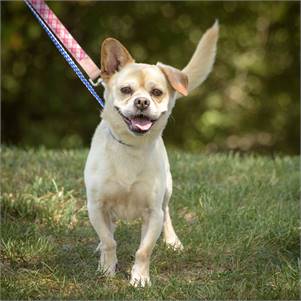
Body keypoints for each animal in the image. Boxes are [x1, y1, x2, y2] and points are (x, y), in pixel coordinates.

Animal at [84, 21, 218, 286]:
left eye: (156, 93)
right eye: (126, 89)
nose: (142, 102)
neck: (131, 147)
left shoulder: (152, 213)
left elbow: (143, 250)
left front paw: (139, 278)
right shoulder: (96, 205)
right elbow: (108, 240)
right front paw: (106, 268)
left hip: (167, 191)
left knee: (167, 215)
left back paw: (173, 242)